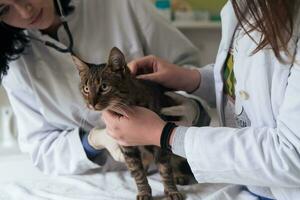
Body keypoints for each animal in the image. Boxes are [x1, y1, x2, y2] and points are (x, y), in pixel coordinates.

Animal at [72, 47, 195, 200]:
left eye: (104, 87)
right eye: (86, 89)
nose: (91, 104)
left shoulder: (159, 143)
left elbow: (165, 169)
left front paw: (171, 190)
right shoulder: (127, 147)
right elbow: (138, 171)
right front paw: (143, 191)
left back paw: (180, 175)